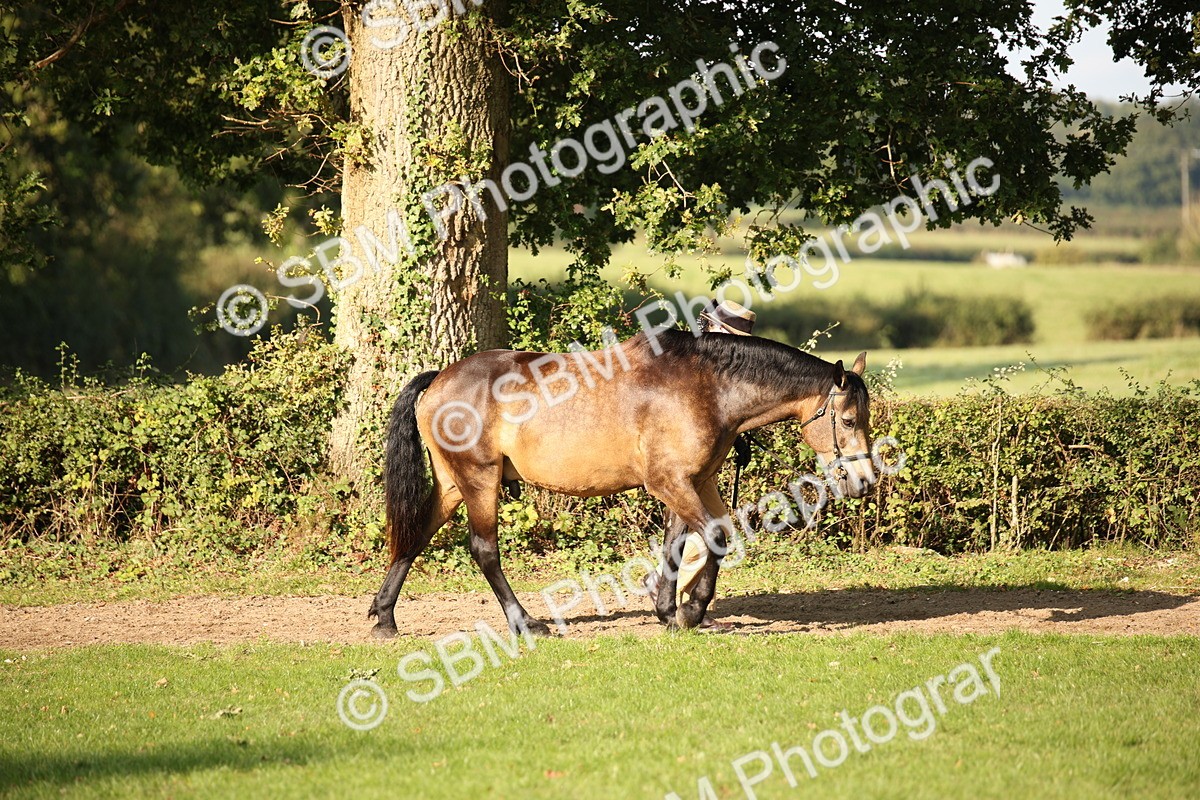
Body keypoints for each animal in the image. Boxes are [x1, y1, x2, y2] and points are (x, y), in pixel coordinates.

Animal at [367, 328, 875, 638]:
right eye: (849, 420)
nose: (865, 481)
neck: (707, 388)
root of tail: (440, 379)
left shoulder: (692, 482)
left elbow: (684, 544)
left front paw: (670, 610)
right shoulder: (670, 482)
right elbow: (715, 538)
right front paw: (690, 610)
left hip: (453, 484)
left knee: (415, 536)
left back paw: (385, 616)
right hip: (479, 480)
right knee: (484, 550)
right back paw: (525, 622)